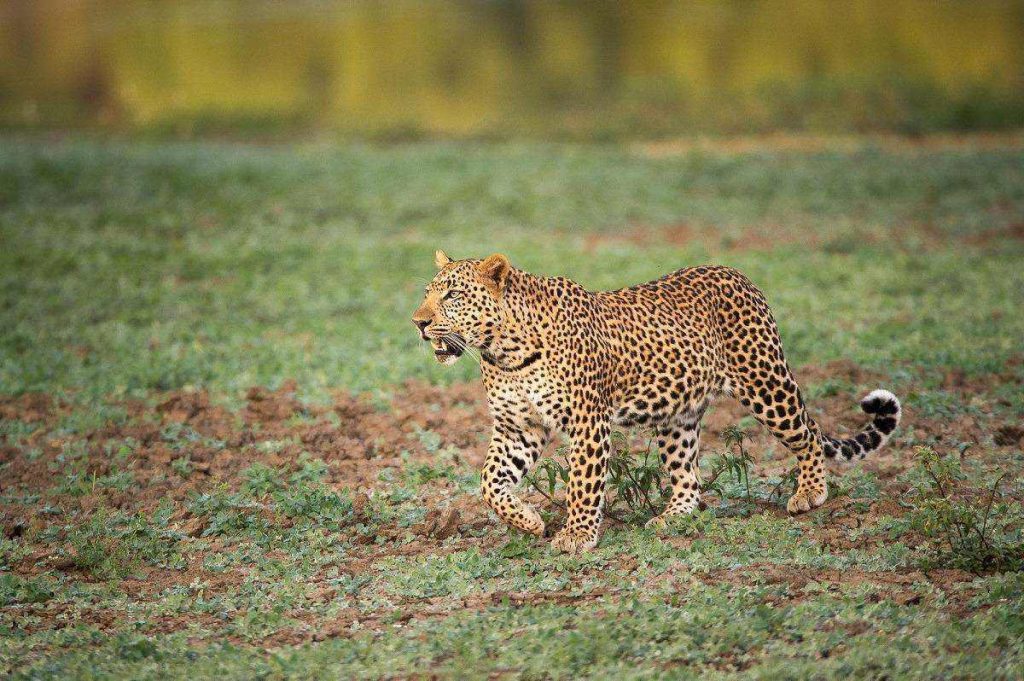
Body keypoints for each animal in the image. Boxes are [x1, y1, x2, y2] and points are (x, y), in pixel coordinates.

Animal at [411, 249, 901, 552]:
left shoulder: (587, 423)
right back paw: (673, 518)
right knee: (688, 476)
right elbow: (490, 482)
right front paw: (528, 520)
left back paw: (811, 492)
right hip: (679, 417)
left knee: (810, 433)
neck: (503, 351)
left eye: (453, 295)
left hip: (765, 384)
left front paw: (577, 535)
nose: (418, 322)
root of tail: (737, 273)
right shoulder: (518, 429)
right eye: (427, 293)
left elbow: (582, 485)